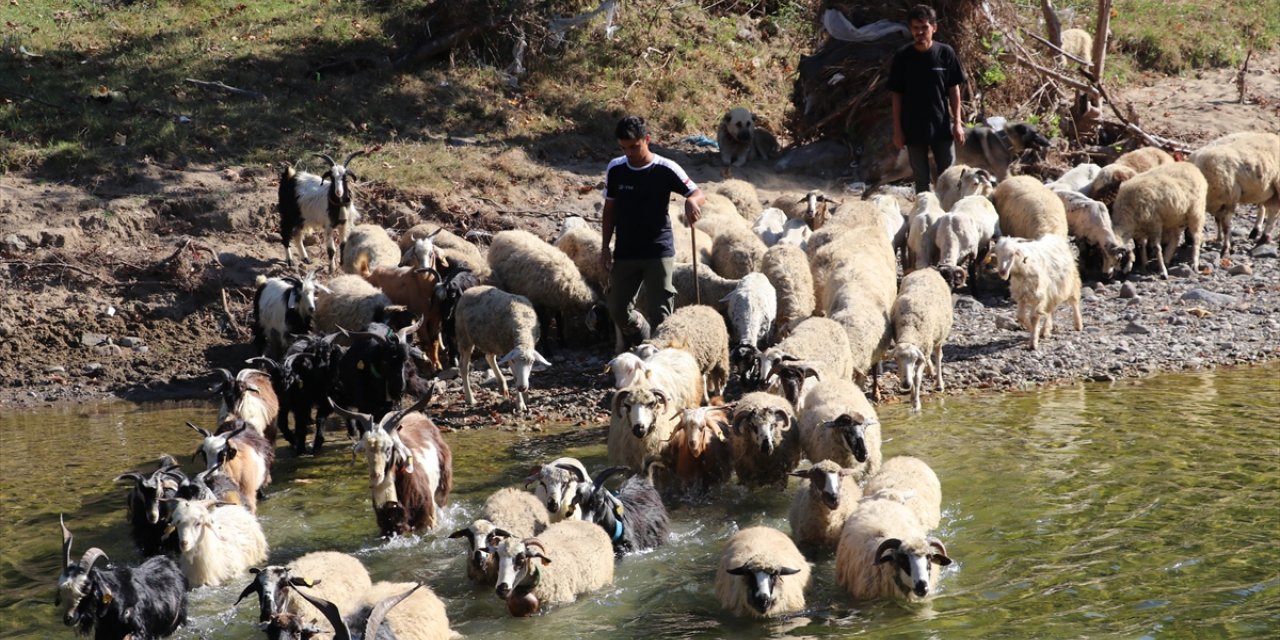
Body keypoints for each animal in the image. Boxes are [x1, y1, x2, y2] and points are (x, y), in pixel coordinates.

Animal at [330, 391, 455, 537]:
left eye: (389, 447)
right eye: (365, 450)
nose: (376, 476)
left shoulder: (427, 519)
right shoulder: (388, 526)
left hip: (442, 490)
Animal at [453, 285, 547, 414]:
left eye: (532, 362)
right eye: (514, 360)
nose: (522, 387)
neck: (522, 334)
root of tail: (471, 289)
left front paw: (526, 396)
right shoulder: (509, 350)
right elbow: (516, 377)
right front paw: (520, 403)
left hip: (490, 339)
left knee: (489, 357)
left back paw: (502, 386)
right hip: (464, 337)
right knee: (463, 367)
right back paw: (470, 398)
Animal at [890, 267, 952, 412]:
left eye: (913, 358)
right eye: (896, 359)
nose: (905, 385)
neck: (910, 327)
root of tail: (927, 269)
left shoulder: (921, 354)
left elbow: (917, 378)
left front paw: (916, 404)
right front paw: (912, 395)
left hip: (939, 335)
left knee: (938, 355)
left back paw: (939, 383)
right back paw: (930, 371)